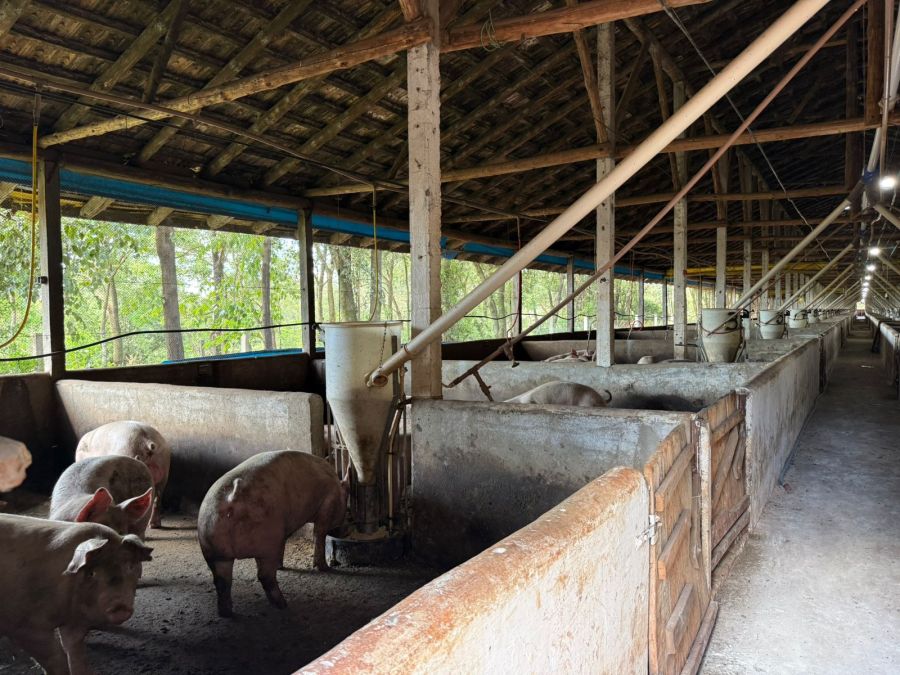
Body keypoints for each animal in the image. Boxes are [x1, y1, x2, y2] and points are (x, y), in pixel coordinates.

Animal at [0, 514, 152, 675]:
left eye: (130, 566)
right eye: (91, 573)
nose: (119, 606)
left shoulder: (74, 622)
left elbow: (75, 652)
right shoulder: (26, 627)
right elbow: (56, 659)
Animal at [198, 451, 349, 618]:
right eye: (347, 507)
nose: (346, 531)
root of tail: (232, 496)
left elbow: (286, 541)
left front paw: (280, 566)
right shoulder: (327, 504)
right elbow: (319, 534)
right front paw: (324, 568)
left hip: (212, 544)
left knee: (222, 580)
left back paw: (227, 613)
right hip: (266, 541)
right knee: (264, 576)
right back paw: (283, 604)